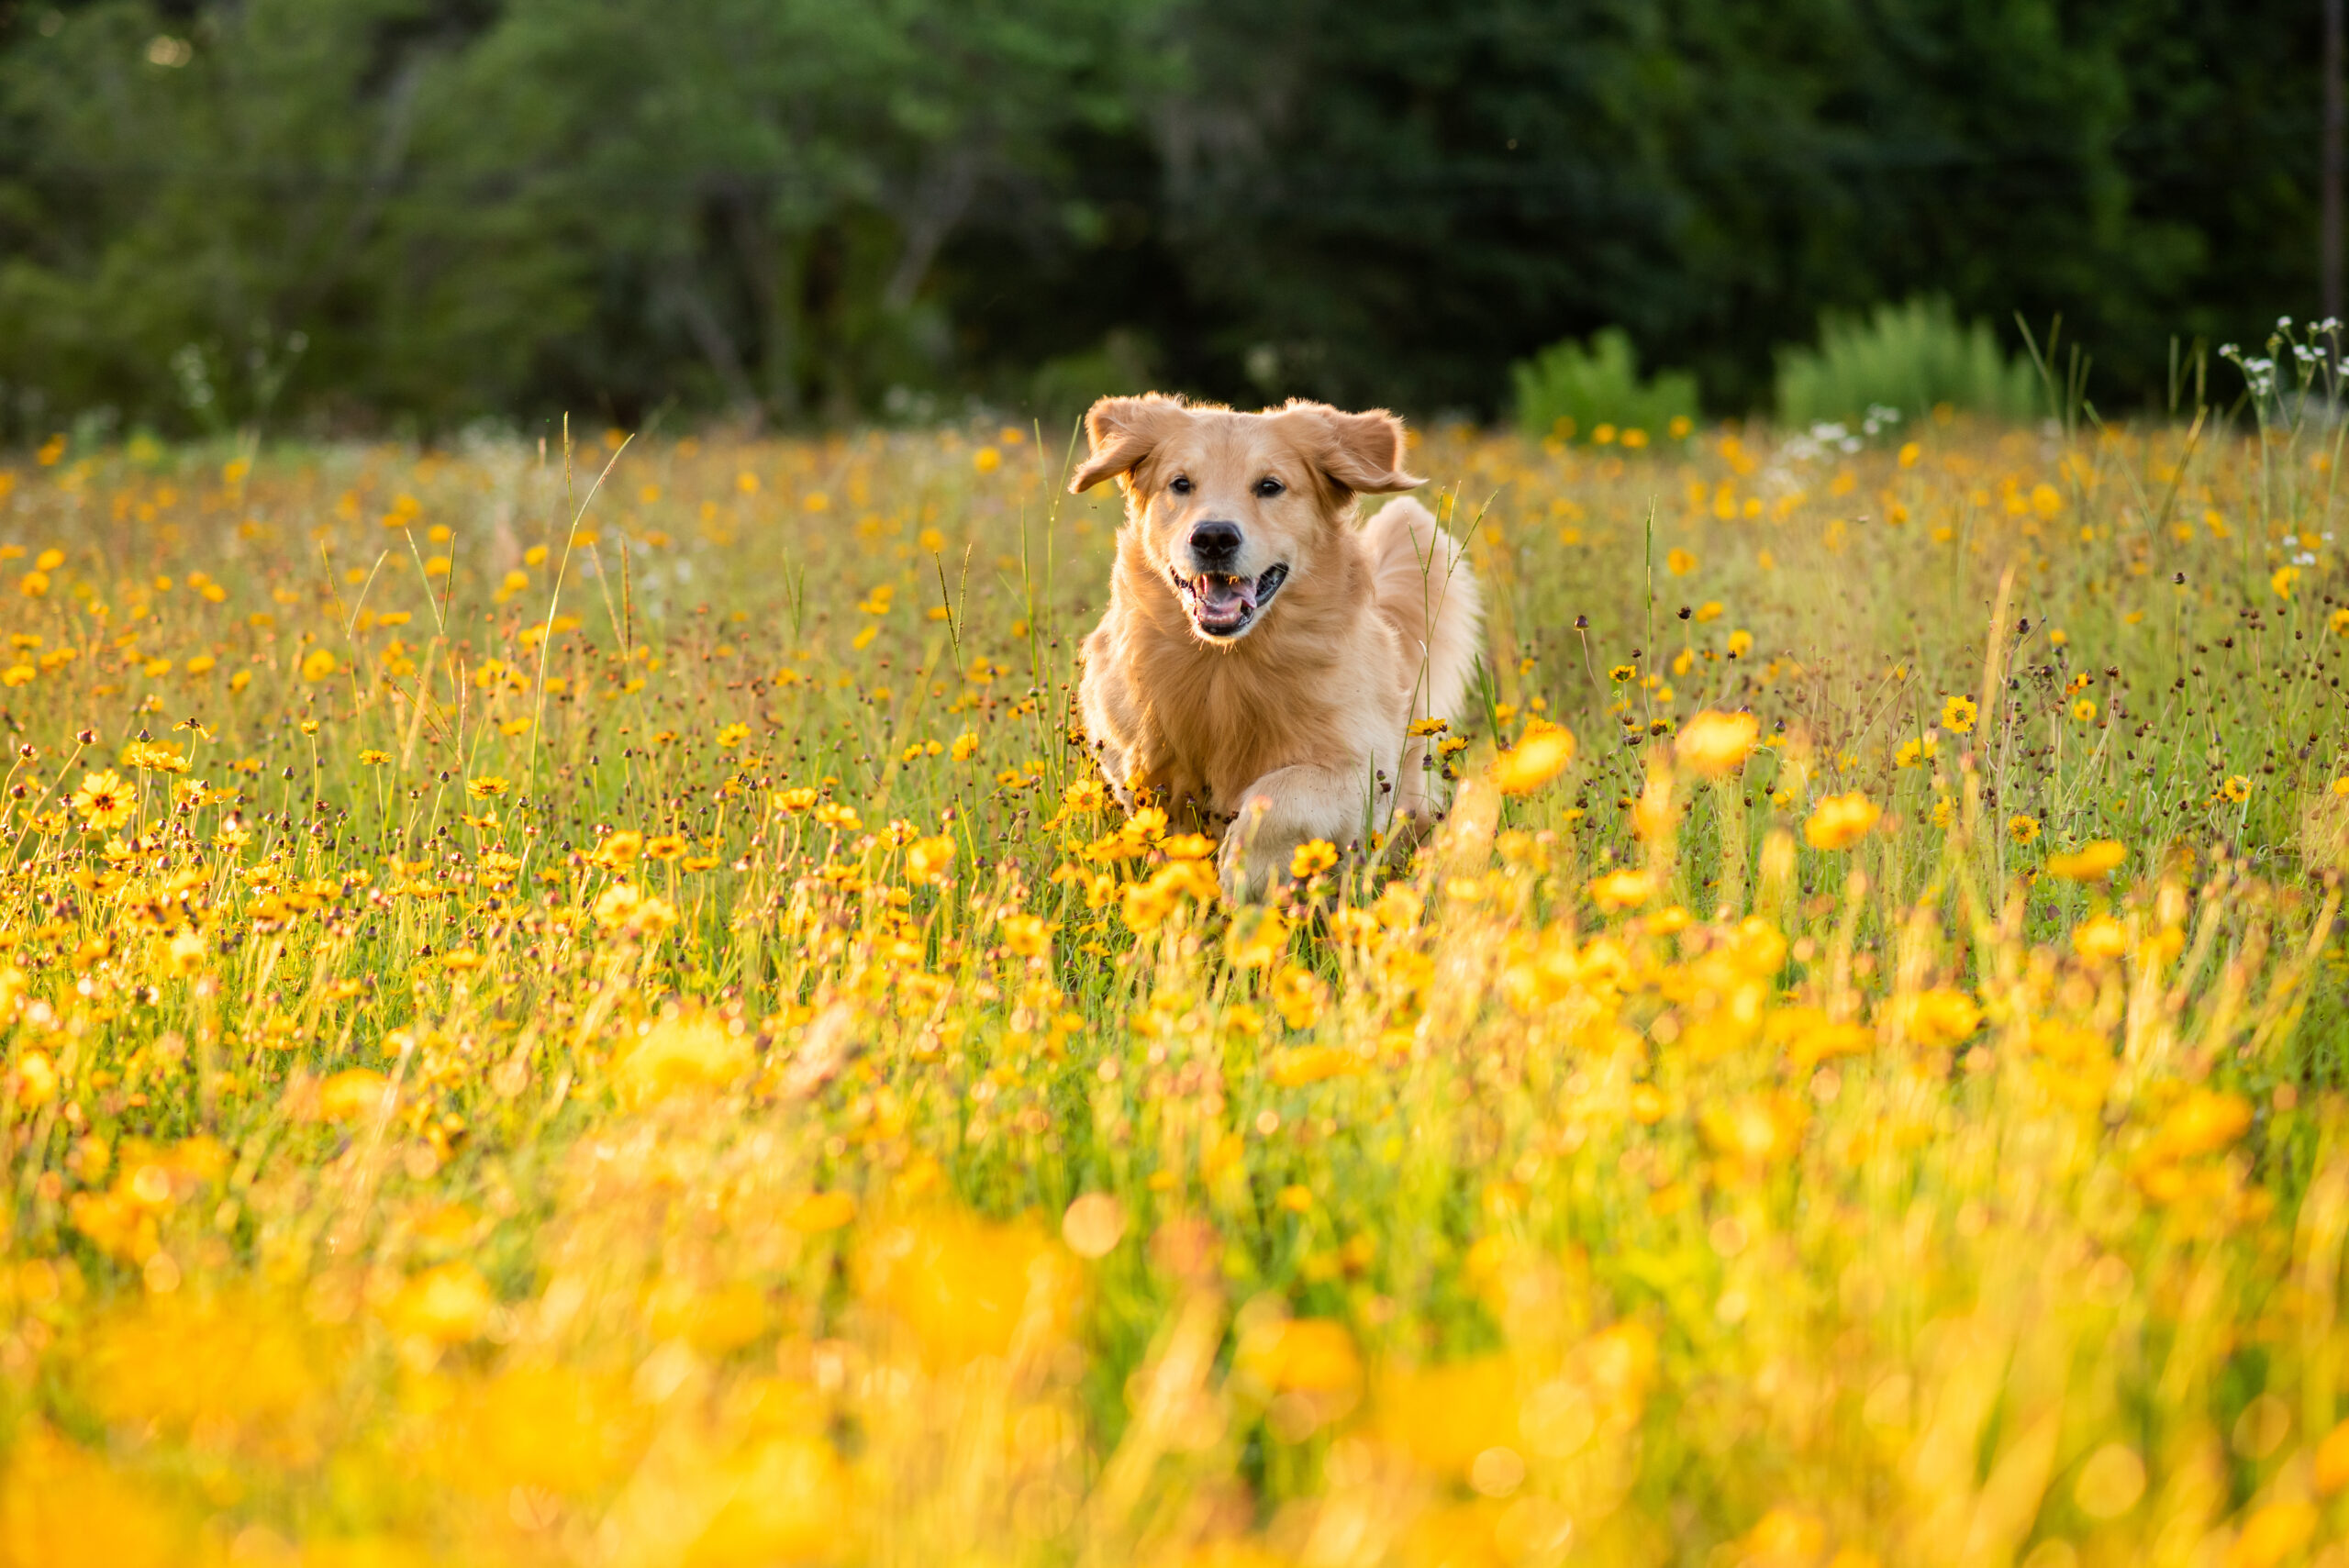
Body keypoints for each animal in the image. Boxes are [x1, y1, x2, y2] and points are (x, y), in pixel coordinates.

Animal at [1071, 394, 1475, 892]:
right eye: (1180, 484)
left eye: (1270, 486)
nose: (1214, 536)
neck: (1226, 664)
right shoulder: (1135, 758)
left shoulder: (1359, 768)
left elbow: (1276, 796)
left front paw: (1243, 875)